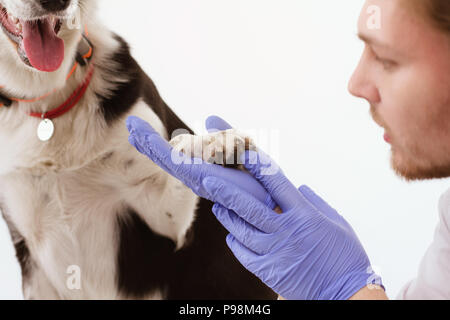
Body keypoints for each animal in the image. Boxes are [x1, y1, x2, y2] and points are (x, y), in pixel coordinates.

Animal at [0, 0, 278, 300]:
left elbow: (177, 169)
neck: (48, 104)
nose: (57, 3)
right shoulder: (31, 252)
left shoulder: (168, 222)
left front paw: (212, 144)